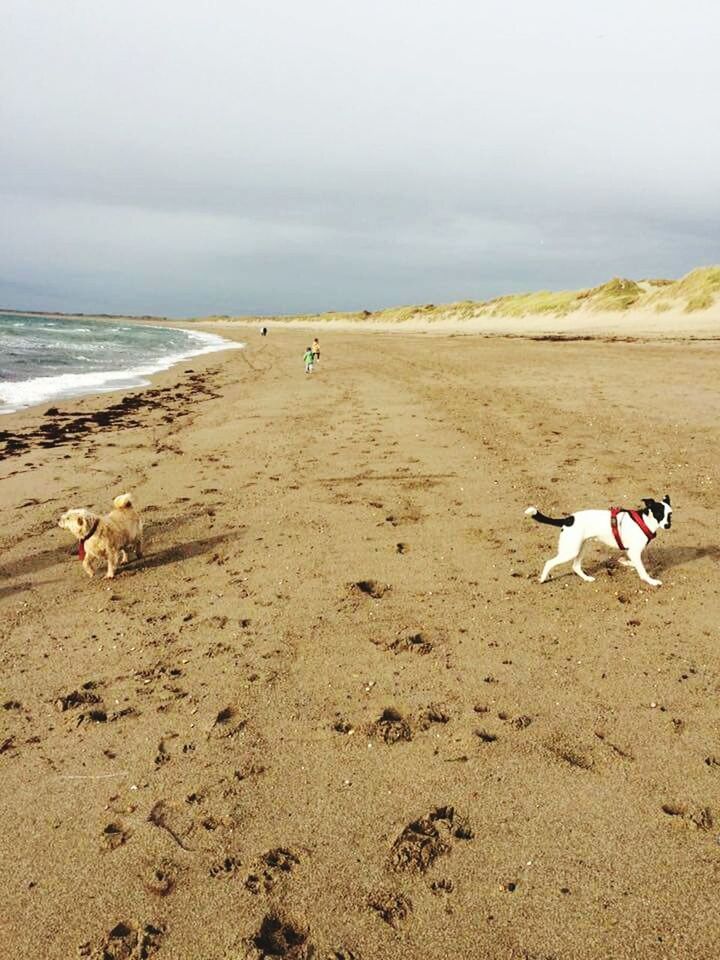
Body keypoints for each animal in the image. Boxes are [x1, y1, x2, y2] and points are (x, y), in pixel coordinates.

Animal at [524, 496, 672, 584]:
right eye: (659, 514)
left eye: (669, 514)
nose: (667, 525)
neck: (645, 521)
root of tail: (568, 519)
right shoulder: (635, 552)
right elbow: (642, 570)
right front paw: (651, 581)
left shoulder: (631, 552)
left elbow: (635, 563)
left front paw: (625, 562)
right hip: (571, 551)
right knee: (549, 562)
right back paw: (543, 579)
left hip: (580, 548)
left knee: (575, 566)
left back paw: (587, 578)